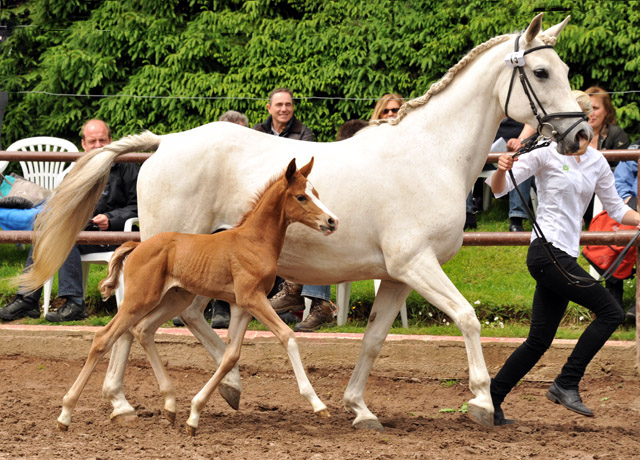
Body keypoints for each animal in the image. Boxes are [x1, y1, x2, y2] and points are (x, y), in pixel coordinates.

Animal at [55, 158, 338, 434]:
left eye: (316, 193)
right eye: (301, 197)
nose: (332, 221)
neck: (253, 242)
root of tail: (137, 245)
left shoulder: (242, 305)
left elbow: (231, 356)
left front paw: (195, 414)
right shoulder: (252, 298)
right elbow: (287, 336)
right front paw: (318, 404)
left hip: (174, 298)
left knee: (142, 330)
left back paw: (169, 405)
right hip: (141, 298)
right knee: (104, 337)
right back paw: (66, 413)